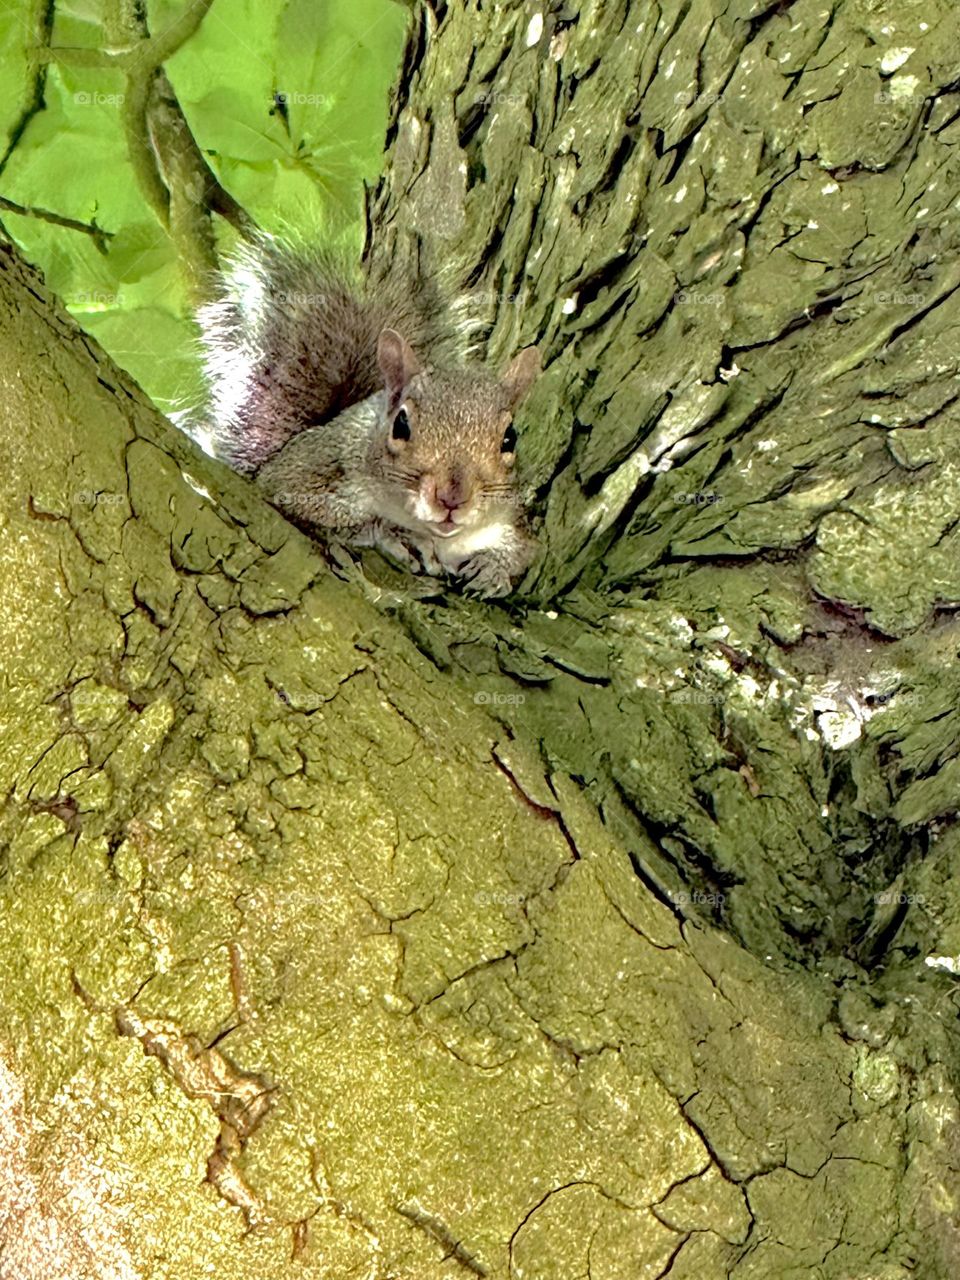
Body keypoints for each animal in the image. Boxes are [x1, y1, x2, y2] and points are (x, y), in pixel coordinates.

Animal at [196, 234, 542, 598]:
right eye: (401, 425)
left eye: (510, 438)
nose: (452, 498)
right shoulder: (302, 475)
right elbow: (301, 503)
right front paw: (397, 533)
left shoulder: (509, 519)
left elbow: (526, 549)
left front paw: (493, 569)